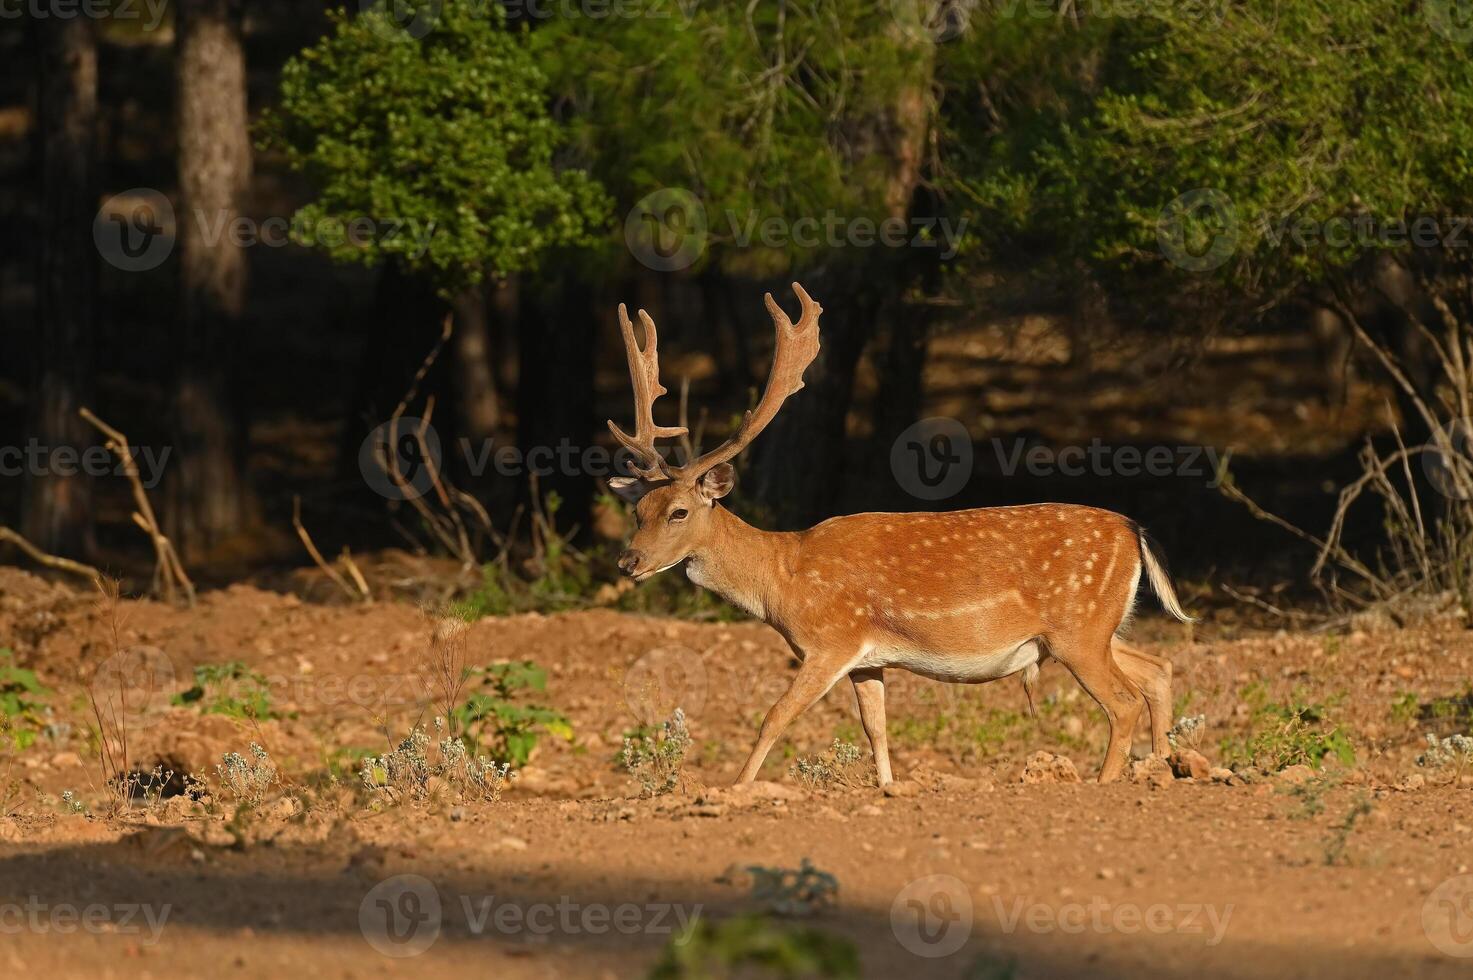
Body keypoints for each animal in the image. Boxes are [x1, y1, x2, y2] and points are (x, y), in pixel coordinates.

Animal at [603, 281, 1190, 778]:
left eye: (679, 512)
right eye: (639, 511)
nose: (628, 561)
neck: (781, 579)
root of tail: (1134, 530)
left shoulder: (830, 641)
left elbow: (775, 717)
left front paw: (734, 790)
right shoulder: (868, 660)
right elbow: (876, 730)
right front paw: (888, 788)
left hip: (1079, 630)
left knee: (1124, 702)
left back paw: (1107, 782)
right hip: (1099, 629)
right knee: (1158, 670)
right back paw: (1166, 767)